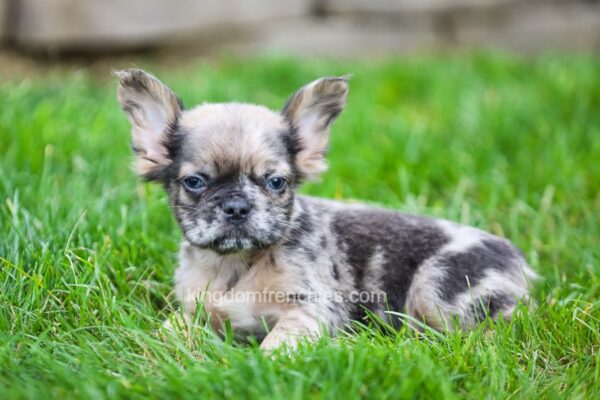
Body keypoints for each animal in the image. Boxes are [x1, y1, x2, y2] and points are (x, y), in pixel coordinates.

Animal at [116, 69, 536, 350]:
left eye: (276, 183)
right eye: (194, 182)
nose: (236, 206)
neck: (236, 265)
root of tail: (518, 262)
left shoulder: (310, 312)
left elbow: (275, 346)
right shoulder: (193, 311)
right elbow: (168, 332)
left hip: (437, 289)